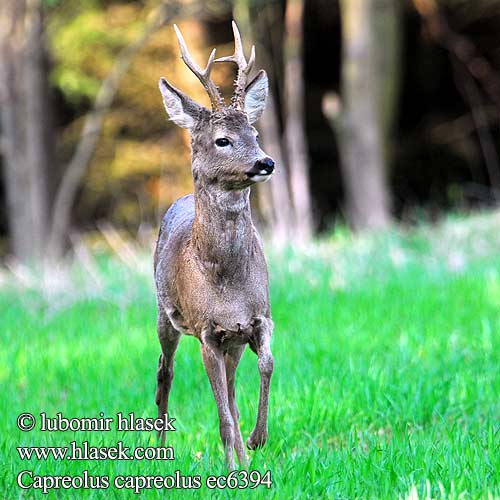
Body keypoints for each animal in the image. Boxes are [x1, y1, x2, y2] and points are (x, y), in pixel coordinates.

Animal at [154, 22, 276, 468]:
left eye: (254, 132)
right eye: (223, 140)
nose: (265, 162)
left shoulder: (257, 319)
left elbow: (266, 367)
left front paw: (256, 441)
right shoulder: (207, 331)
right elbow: (220, 409)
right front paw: (233, 463)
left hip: (233, 343)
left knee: (233, 388)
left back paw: (243, 451)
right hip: (164, 315)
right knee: (165, 371)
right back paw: (160, 450)